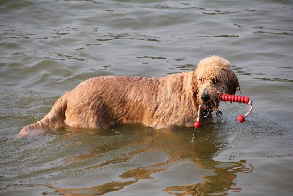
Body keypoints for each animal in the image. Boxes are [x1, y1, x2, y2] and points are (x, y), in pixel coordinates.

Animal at [17, 56, 237, 137]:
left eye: (215, 80)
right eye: (201, 79)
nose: (206, 97)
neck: (191, 94)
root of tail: (70, 93)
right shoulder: (166, 126)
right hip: (91, 122)